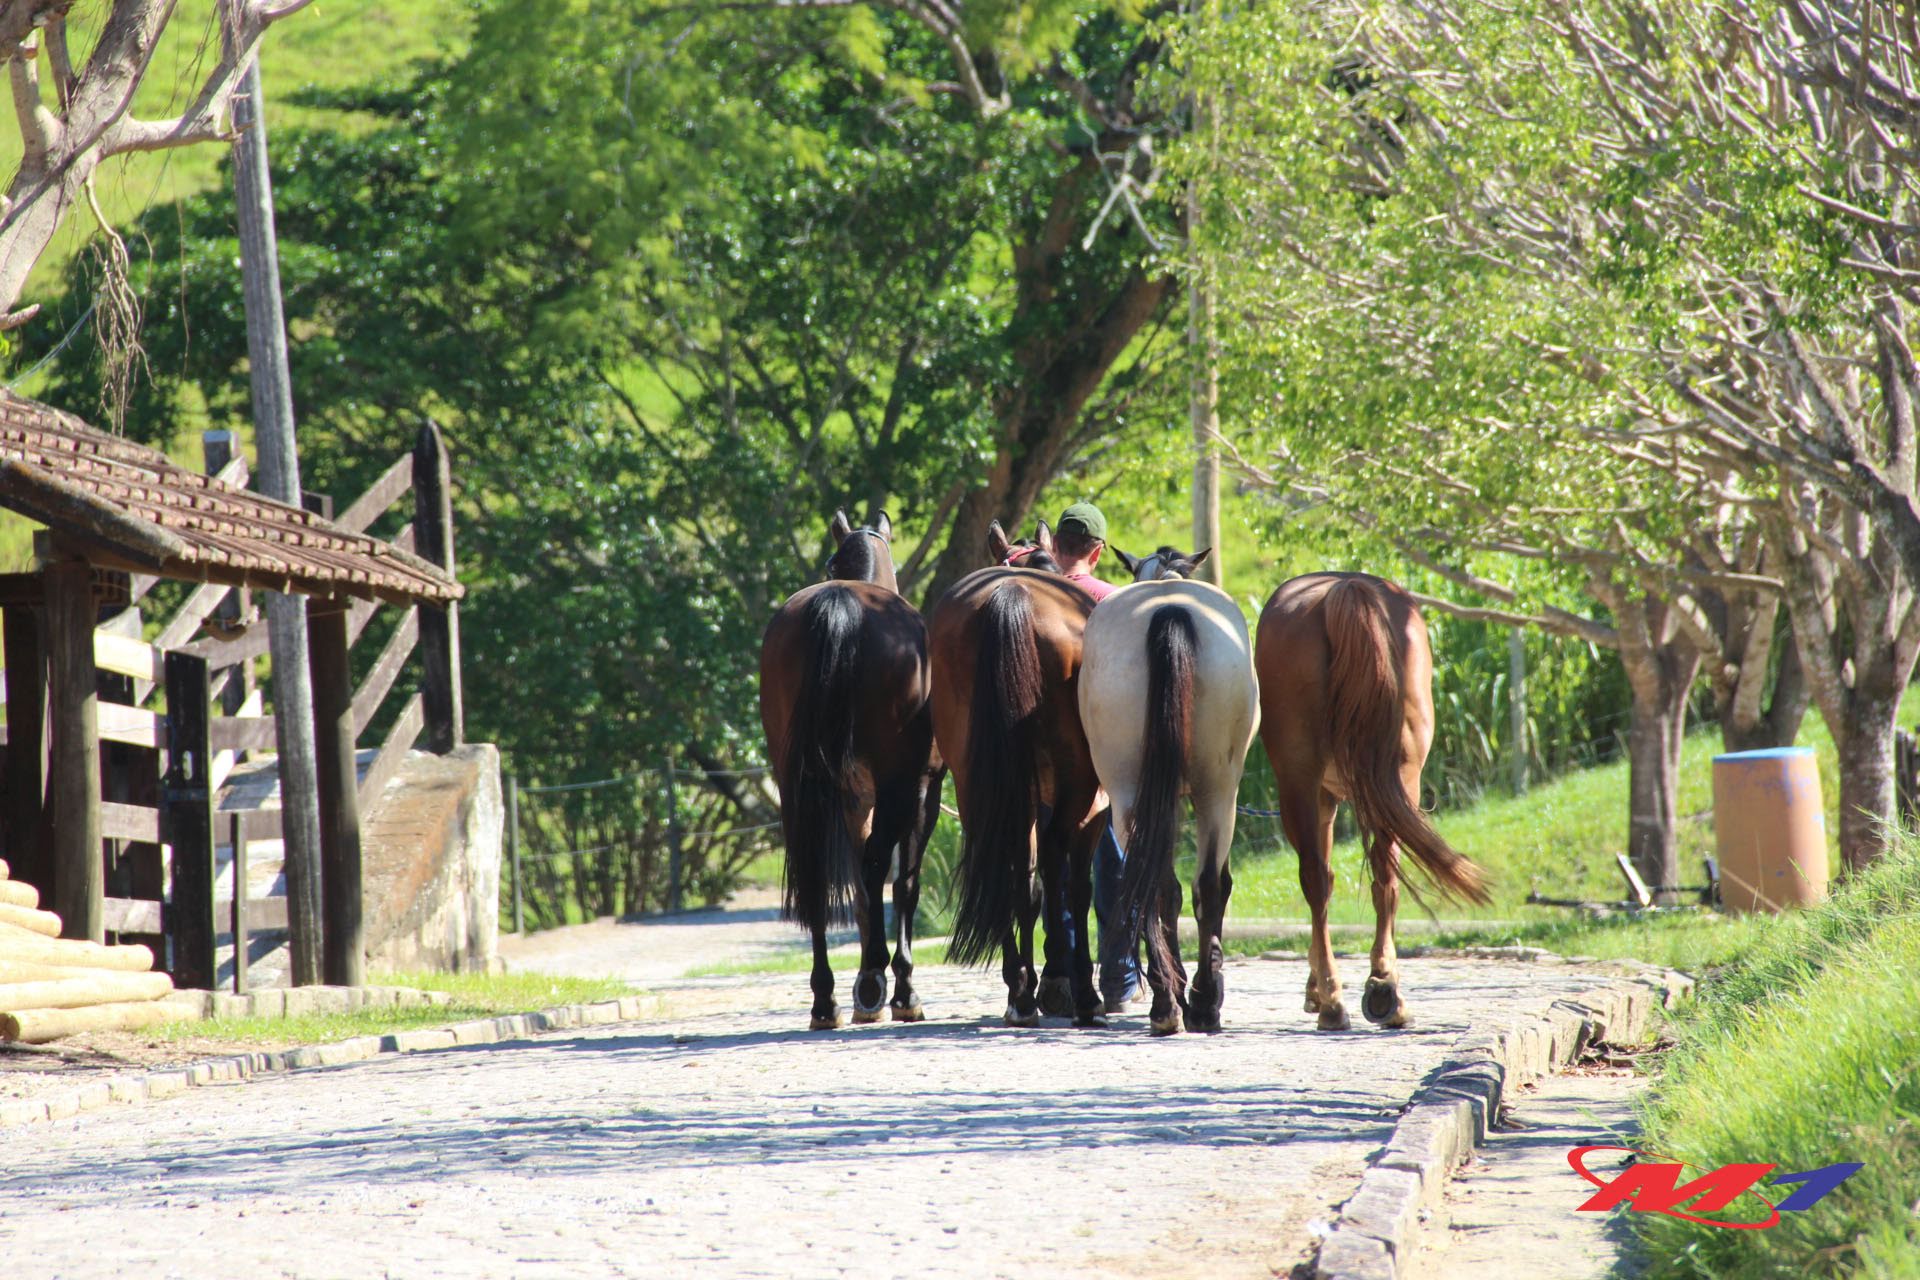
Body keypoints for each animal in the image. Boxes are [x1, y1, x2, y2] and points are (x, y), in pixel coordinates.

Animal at [758, 511, 943, 1030]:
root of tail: (841, 606)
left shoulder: (854, 797)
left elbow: (862, 894)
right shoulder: (922, 791)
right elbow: (902, 883)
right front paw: (899, 989)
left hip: (798, 787)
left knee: (817, 879)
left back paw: (827, 1000)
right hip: (898, 787)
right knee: (880, 865)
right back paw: (877, 979)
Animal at [925, 519, 1107, 1027]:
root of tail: (1011, 596)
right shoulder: (1090, 808)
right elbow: (1074, 886)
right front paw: (1068, 981)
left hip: (978, 784)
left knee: (1010, 871)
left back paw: (1021, 993)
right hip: (1074, 783)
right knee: (1055, 868)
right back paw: (1071, 992)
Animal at [1081, 545, 1260, 1035]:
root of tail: (1169, 611)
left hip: (1131, 796)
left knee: (1161, 885)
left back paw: (1170, 1002)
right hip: (1219, 791)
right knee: (1204, 885)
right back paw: (1200, 1001)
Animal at [1254, 573, 1489, 1031]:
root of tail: (1345, 587)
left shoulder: (1321, 800)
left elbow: (1324, 880)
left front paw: (1315, 989)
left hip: (1304, 785)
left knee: (1322, 880)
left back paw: (1335, 998)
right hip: (1397, 778)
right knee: (1383, 877)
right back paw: (1383, 986)